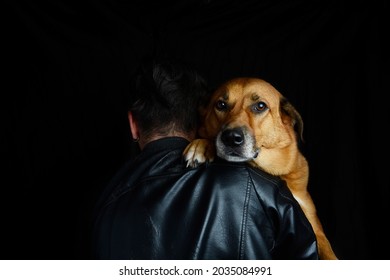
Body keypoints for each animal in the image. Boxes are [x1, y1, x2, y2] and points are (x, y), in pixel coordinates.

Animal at [184, 77, 336, 260]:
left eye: (260, 106)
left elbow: (329, 254)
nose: (231, 138)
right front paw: (202, 145)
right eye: (221, 105)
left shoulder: (315, 229)